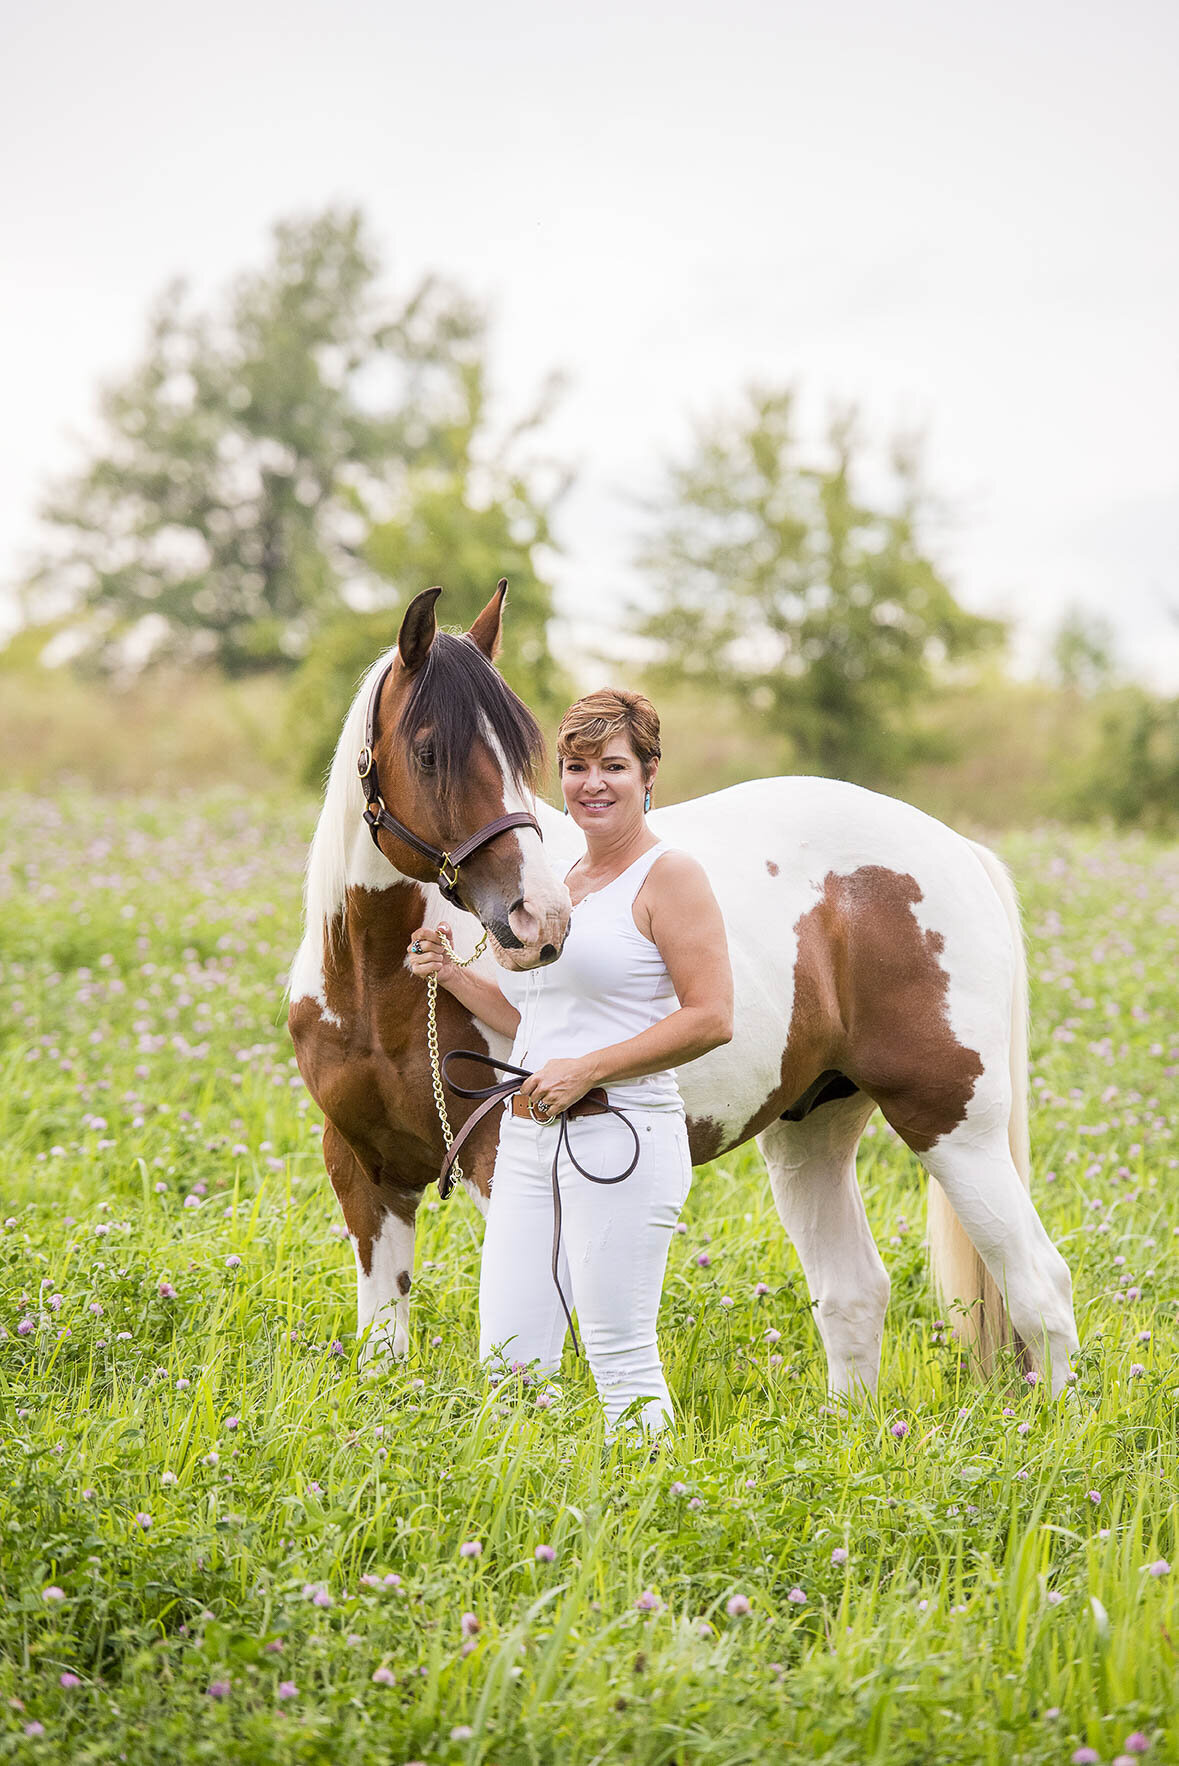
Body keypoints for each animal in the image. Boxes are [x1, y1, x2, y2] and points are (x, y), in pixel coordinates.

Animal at [285, 586, 1080, 1398]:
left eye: (521, 756)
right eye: (427, 752)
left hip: (954, 1125)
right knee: (855, 1289)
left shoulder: (501, 1165)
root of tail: (957, 849)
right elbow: (384, 1351)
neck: (377, 990)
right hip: (812, 1131)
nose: (538, 920)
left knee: (1039, 1286)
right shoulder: (366, 1176)